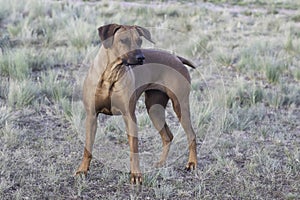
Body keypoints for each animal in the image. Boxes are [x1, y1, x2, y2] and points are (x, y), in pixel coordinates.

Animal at [75, 23, 197, 184]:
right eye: (124, 40)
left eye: (139, 41)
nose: (141, 58)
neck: (111, 74)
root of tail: (176, 58)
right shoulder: (91, 115)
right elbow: (88, 147)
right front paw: (82, 170)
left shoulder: (129, 116)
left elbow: (134, 148)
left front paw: (136, 175)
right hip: (154, 109)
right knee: (167, 136)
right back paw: (161, 163)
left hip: (180, 106)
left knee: (191, 135)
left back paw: (192, 163)